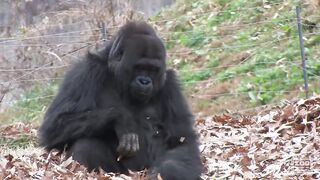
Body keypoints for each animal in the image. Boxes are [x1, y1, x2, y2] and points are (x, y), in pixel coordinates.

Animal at [38, 20, 202, 179]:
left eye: (152, 69)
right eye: (139, 67)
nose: (145, 81)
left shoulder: (170, 85)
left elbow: (181, 140)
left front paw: (167, 170)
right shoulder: (85, 71)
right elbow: (55, 126)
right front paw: (121, 119)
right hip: (120, 173)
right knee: (85, 145)